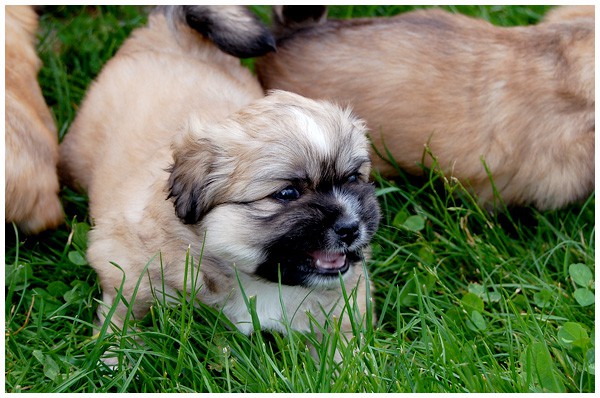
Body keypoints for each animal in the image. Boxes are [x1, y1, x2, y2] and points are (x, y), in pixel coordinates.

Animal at [59, 4, 380, 350]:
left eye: (352, 179)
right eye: (288, 194)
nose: (350, 228)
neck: (256, 281)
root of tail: (167, 32)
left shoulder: (347, 301)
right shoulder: (123, 263)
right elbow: (125, 312)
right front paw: (113, 352)